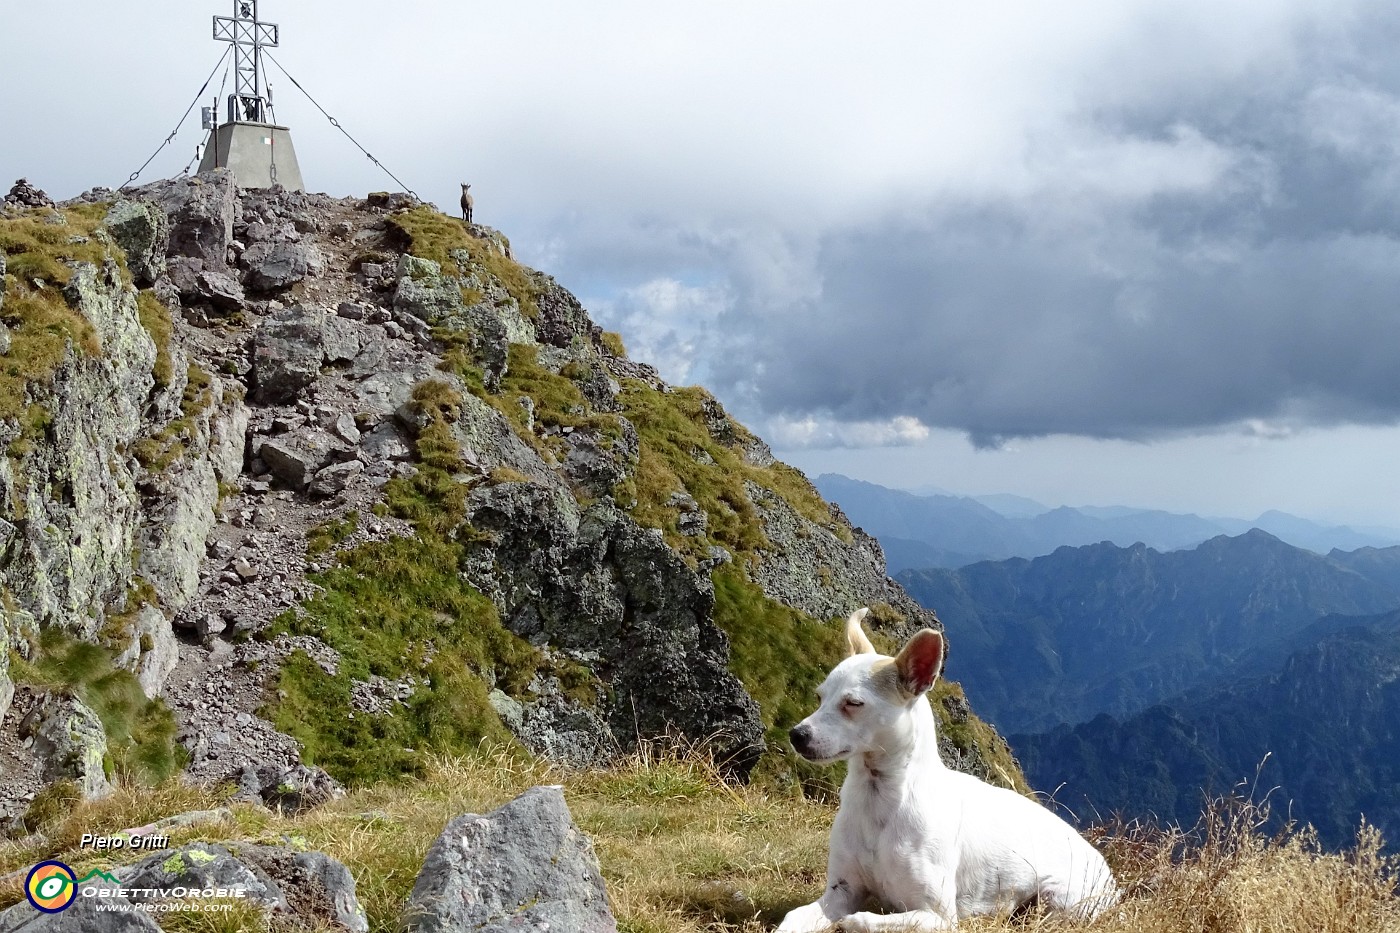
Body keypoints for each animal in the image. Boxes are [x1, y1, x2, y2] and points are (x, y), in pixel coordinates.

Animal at [778, 607, 1114, 924]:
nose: (797, 735)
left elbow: (862, 920)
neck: (878, 798)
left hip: (1057, 900)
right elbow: (794, 917)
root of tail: (1109, 875)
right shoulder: (840, 894)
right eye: (819, 697)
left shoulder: (937, 916)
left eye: (853, 704)